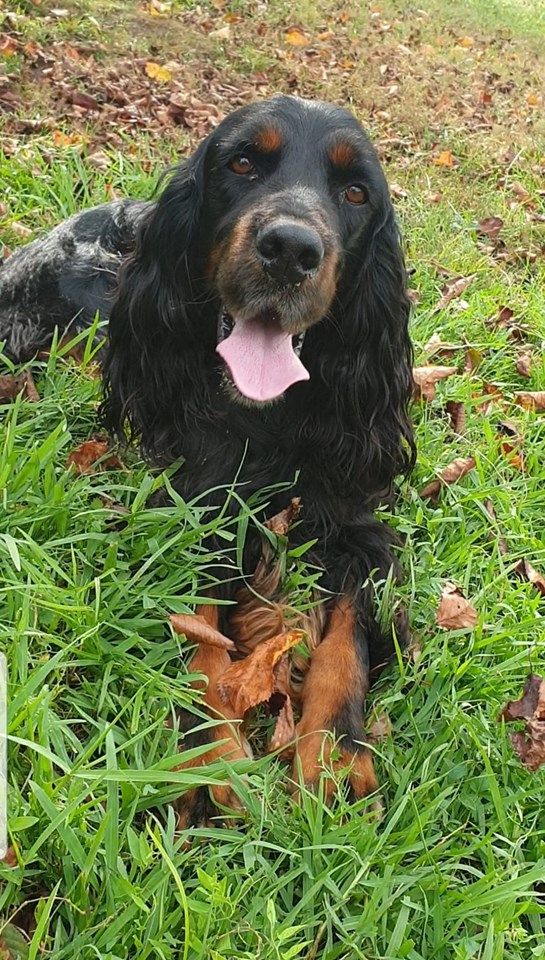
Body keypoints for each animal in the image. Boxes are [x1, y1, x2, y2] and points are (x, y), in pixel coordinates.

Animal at [0, 95, 415, 823]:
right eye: (242, 162)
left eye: (355, 192)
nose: (289, 250)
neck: (265, 413)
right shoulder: (195, 504)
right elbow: (199, 629)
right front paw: (213, 754)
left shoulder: (349, 517)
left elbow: (348, 638)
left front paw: (336, 756)